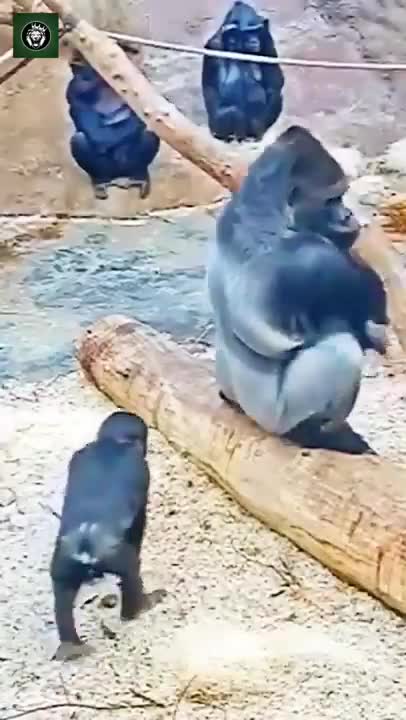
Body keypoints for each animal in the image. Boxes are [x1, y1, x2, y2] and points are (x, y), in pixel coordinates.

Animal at [50, 411, 167, 661]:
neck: (116, 442)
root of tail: (86, 547)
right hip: (116, 558)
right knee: (131, 577)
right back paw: (139, 608)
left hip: (63, 563)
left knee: (62, 600)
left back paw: (71, 646)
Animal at [66, 59, 160, 200]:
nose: (80, 79)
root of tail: (119, 177)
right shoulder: (75, 97)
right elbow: (97, 133)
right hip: (109, 170)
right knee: (79, 139)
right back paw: (100, 181)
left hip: (129, 166)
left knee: (150, 135)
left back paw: (140, 176)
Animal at [202, 1, 284, 142]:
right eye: (247, 33)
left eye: (256, 31)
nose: (254, 40)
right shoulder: (213, 46)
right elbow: (216, 88)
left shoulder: (267, 39)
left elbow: (275, 80)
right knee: (229, 111)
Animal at [207, 125, 388, 454]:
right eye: (332, 199)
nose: (348, 216)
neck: (263, 206)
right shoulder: (313, 256)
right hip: (276, 419)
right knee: (341, 349)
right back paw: (319, 434)